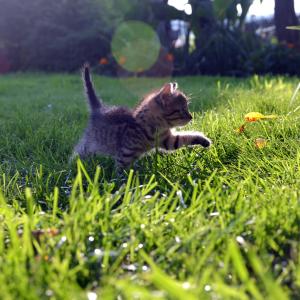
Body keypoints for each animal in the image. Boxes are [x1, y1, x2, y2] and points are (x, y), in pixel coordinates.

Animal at [74, 64, 211, 169]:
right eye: (181, 110)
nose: (191, 117)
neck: (156, 127)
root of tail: (99, 109)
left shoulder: (167, 140)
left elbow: (184, 138)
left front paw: (204, 140)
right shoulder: (125, 154)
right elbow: (121, 171)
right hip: (90, 143)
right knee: (79, 151)